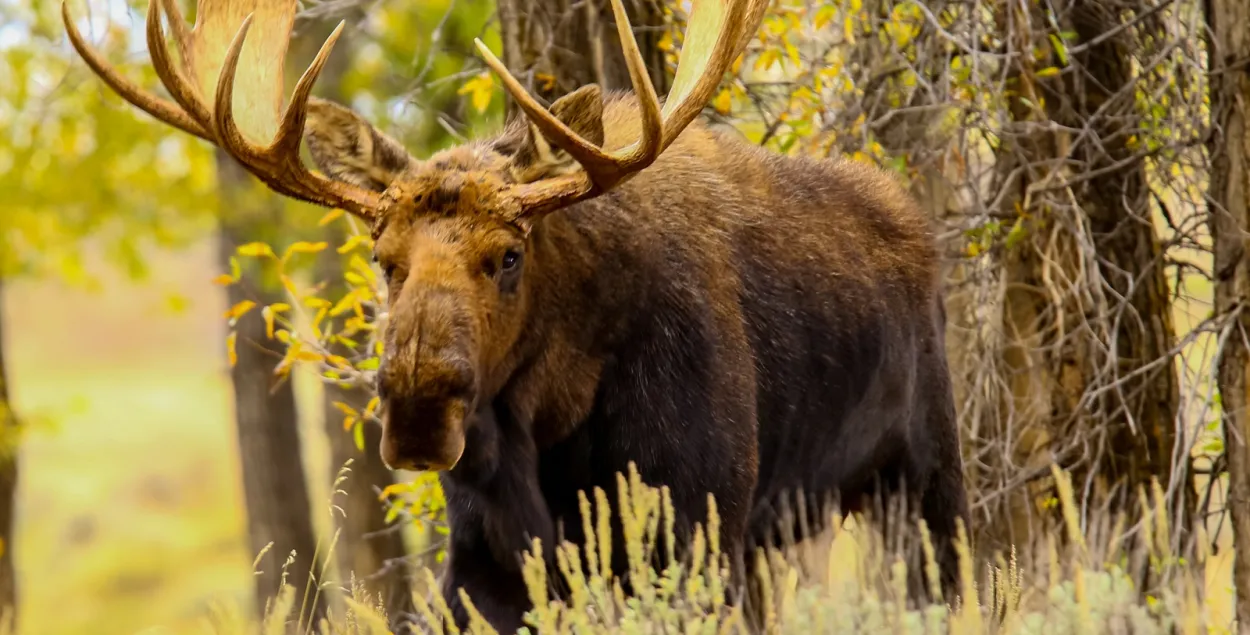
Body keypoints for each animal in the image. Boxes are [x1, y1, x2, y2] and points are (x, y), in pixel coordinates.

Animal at [63, 0, 971, 631]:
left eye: (508, 254)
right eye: (382, 258)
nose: (418, 408)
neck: (549, 430)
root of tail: (917, 220)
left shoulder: (698, 520)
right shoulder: (483, 563)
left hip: (922, 476)